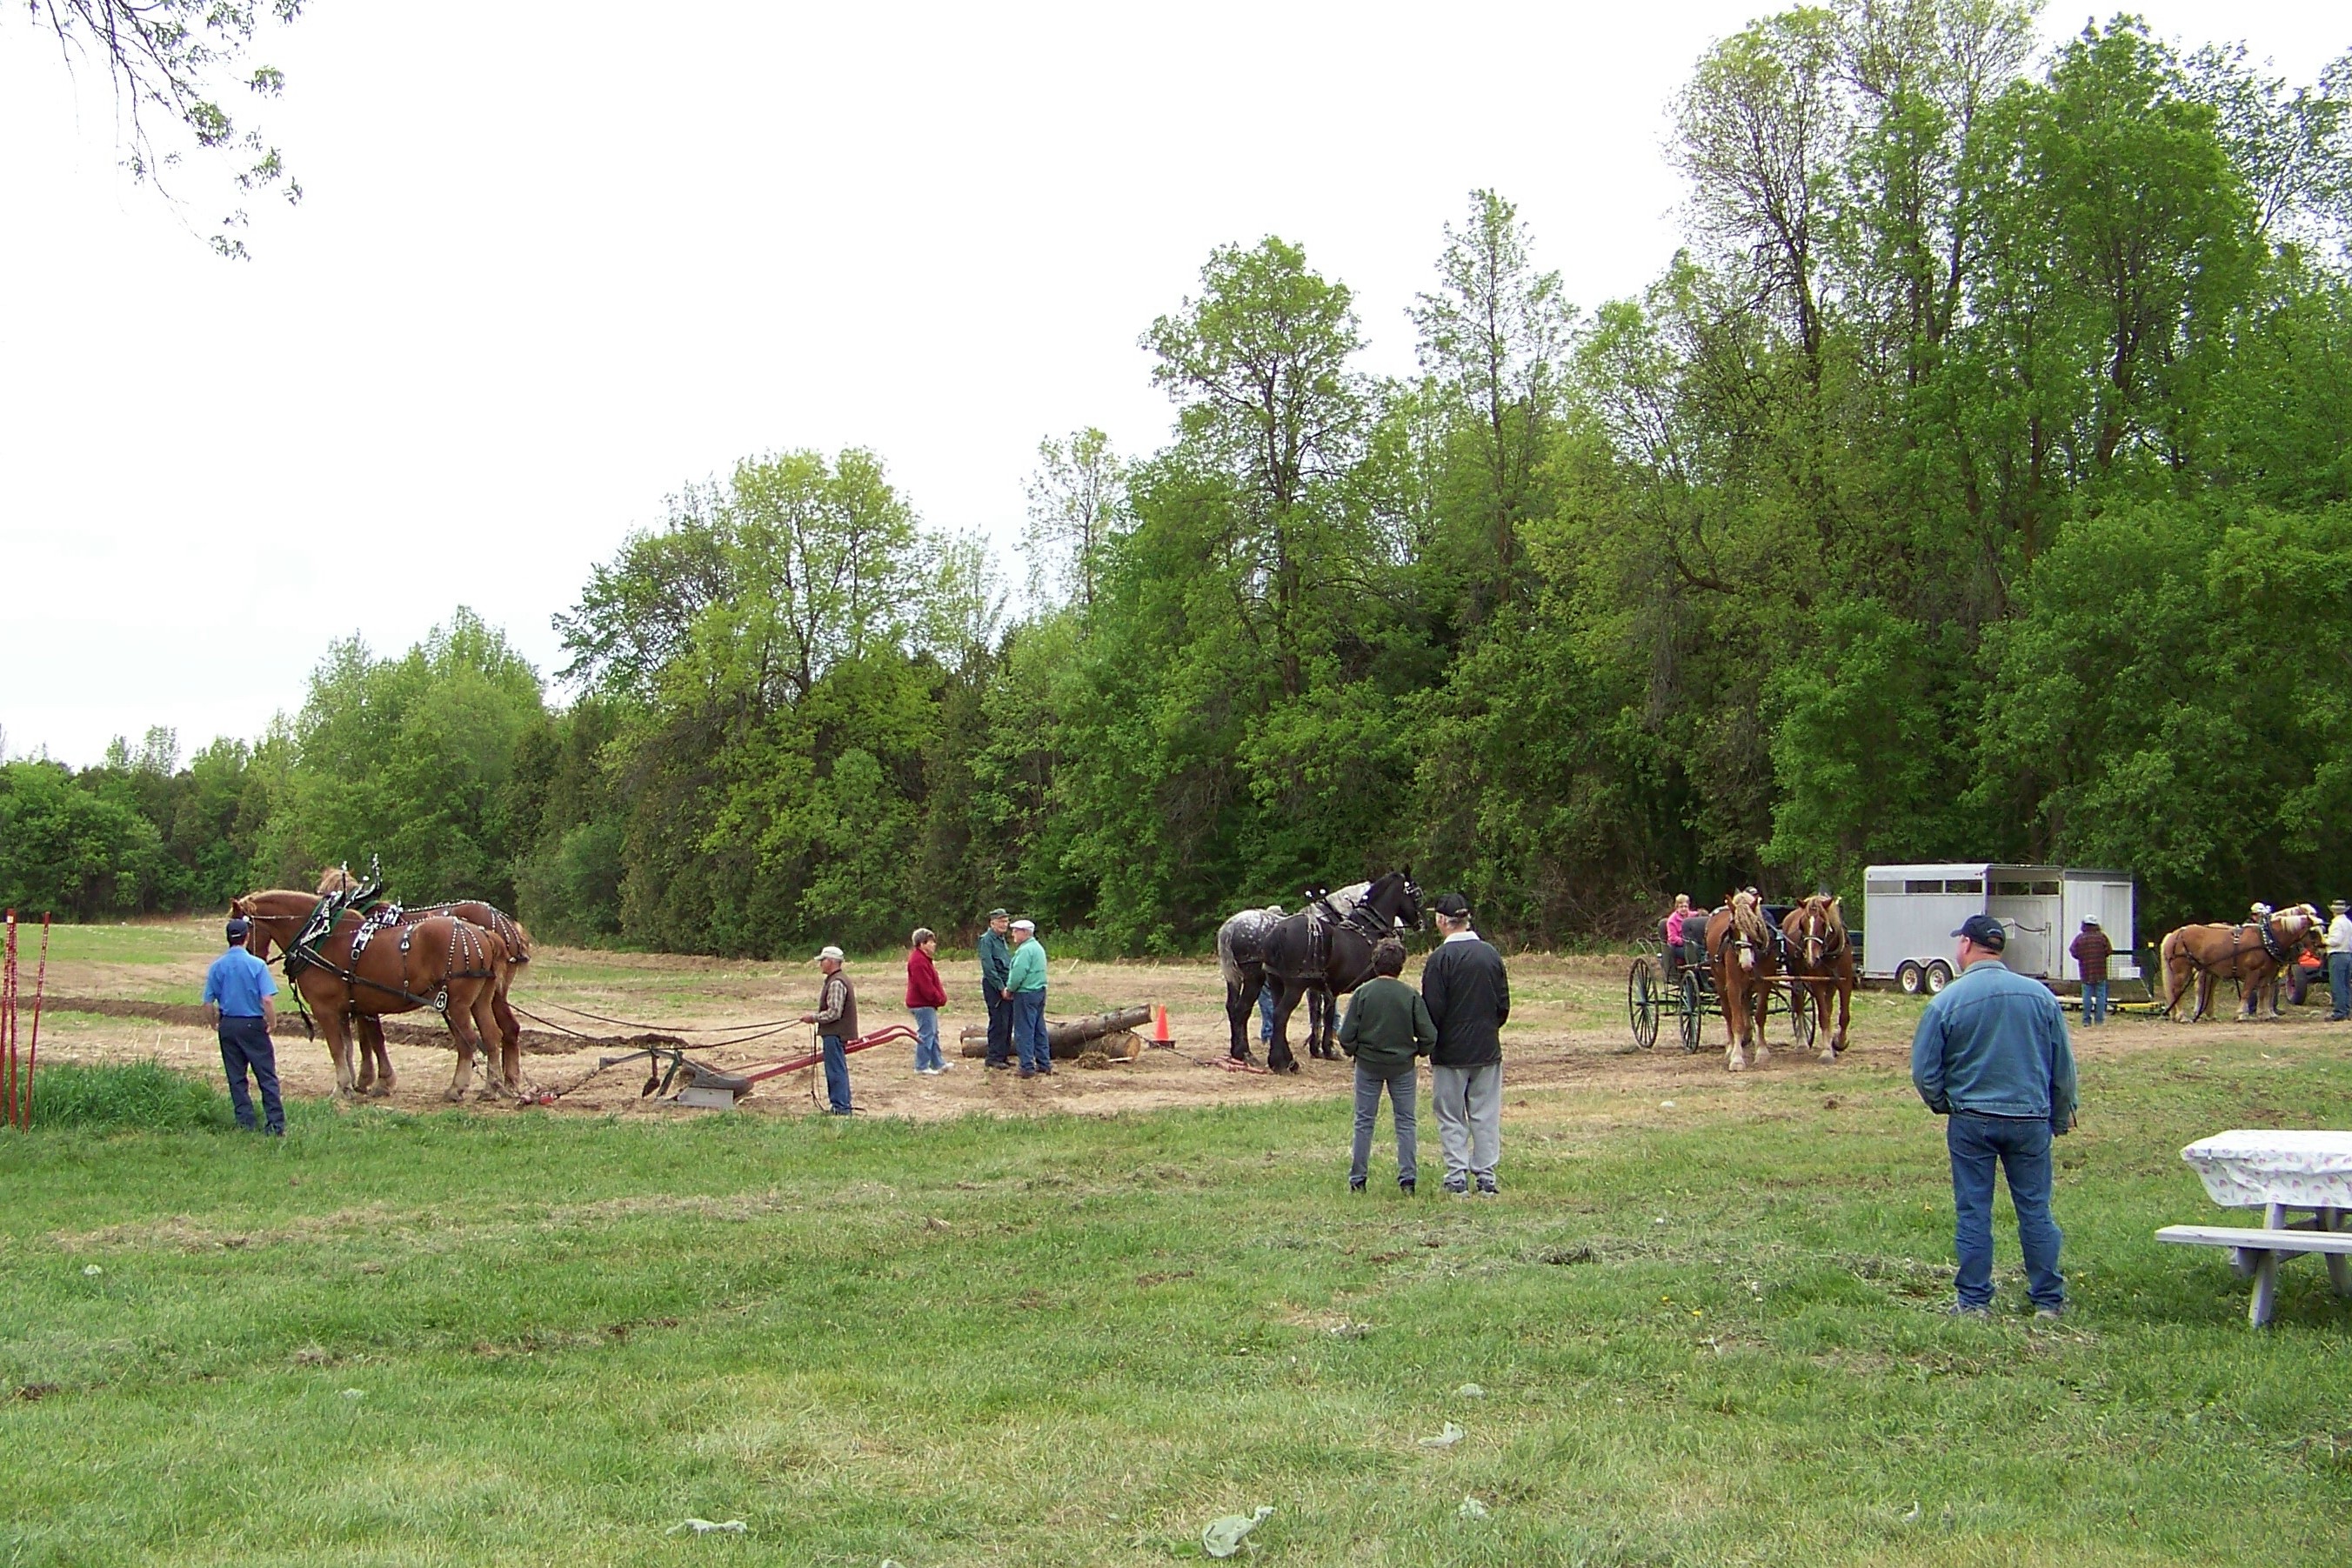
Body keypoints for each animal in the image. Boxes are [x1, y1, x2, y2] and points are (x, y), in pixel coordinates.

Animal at [230, 888, 513, 1101]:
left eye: (242, 930)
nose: (246, 960)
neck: (321, 937)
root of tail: (484, 933)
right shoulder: (348, 1008)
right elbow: (351, 1047)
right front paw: (357, 1084)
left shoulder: (325, 1009)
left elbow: (337, 1048)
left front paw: (342, 1087)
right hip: (479, 1001)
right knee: (491, 1035)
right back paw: (492, 1087)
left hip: (457, 1005)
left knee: (468, 1040)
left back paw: (457, 1088)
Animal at [1218, 870, 1424, 1073]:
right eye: (1417, 895)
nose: (1419, 925)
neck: (1366, 929)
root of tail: (1230, 926)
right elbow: (1326, 1013)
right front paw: (1327, 1049)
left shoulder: (1325, 986)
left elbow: (1321, 1013)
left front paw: (1318, 1049)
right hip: (1264, 980)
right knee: (1258, 1011)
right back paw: (1257, 1057)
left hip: (1248, 980)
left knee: (1236, 1008)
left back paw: (1247, 1054)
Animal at [1704, 889, 1779, 1071]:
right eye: (1732, 928)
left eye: (1755, 926)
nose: (1746, 963)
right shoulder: (1734, 986)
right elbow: (1736, 1021)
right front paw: (1737, 1058)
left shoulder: (1765, 983)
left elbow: (1760, 1016)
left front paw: (1762, 1052)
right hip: (1720, 982)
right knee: (1727, 1013)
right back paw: (1731, 1047)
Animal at [1781, 894, 1854, 1062]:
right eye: (1802, 924)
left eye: (1823, 923)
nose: (1811, 958)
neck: (1829, 953)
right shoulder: (1818, 983)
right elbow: (1823, 1016)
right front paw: (1827, 1051)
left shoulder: (1845, 983)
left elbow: (1844, 1016)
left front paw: (1838, 1043)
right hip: (1796, 976)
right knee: (1799, 1005)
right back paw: (1802, 1042)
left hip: (1831, 983)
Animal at [2161, 904, 2325, 1022]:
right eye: (2313, 932)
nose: (2322, 951)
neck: (2266, 938)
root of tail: (2174, 934)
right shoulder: (2253, 971)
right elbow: (2247, 992)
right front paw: (2242, 1014)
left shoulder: (2268, 973)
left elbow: (2264, 993)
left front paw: (2265, 1014)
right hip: (2183, 969)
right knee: (2179, 990)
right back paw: (2183, 1016)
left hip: (2209, 971)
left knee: (2207, 991)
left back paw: (2205, 1015)